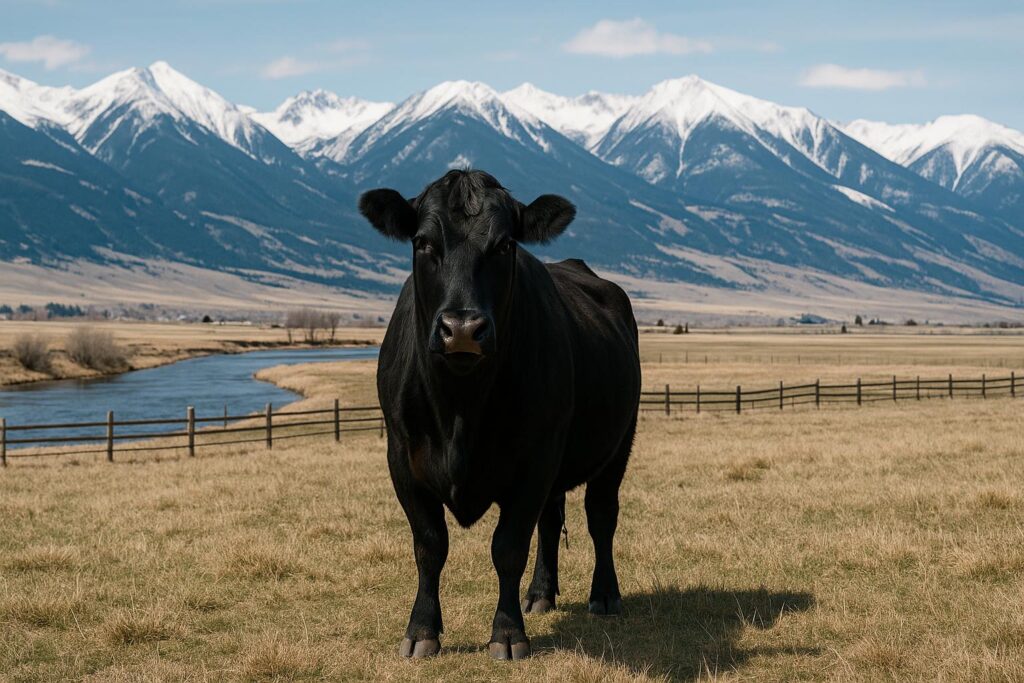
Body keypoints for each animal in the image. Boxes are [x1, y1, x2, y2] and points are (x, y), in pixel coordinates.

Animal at [358, 169, 641, 661]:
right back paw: (541, 593)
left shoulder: (535, 460)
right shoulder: (403, 459)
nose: (462, 329)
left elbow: (508, 547)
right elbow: (430, 546)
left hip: (617, 444)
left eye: (506, 245)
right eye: (422, 242)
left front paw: (507, 634)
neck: (460, 407)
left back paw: (604, 596)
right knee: (551, 521)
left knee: (600, 516)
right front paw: (421, 631)